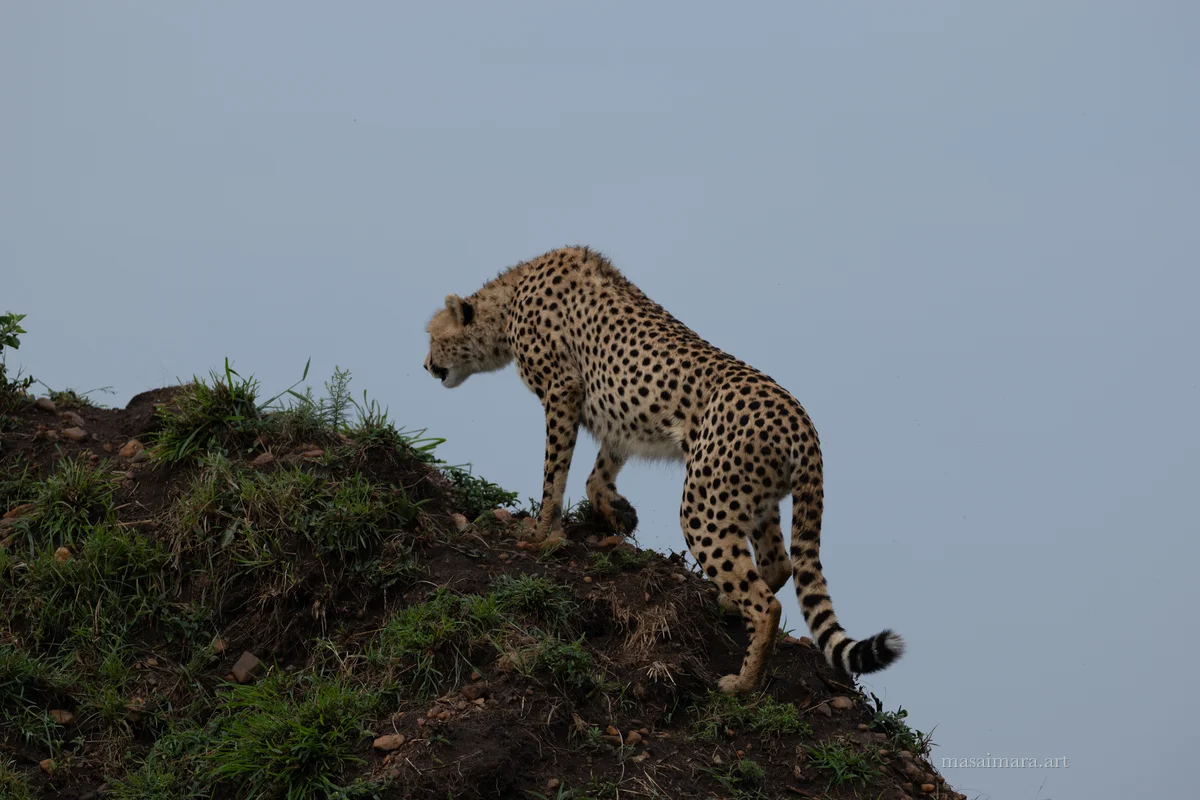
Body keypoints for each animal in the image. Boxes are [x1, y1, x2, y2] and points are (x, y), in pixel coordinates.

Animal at [423, 245, 904, 693]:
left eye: (431, 337)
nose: (426, 365)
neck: (508, 299)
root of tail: (803, 424)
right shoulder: (617, 415)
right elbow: (598, 472)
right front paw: (616, 512)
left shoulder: (563, 391)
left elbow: (553, 472)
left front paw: (542, 533)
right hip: (752, 498)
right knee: (779, 565)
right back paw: (727, 605)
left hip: (705, 505)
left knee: (767, 602)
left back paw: (742, 682)